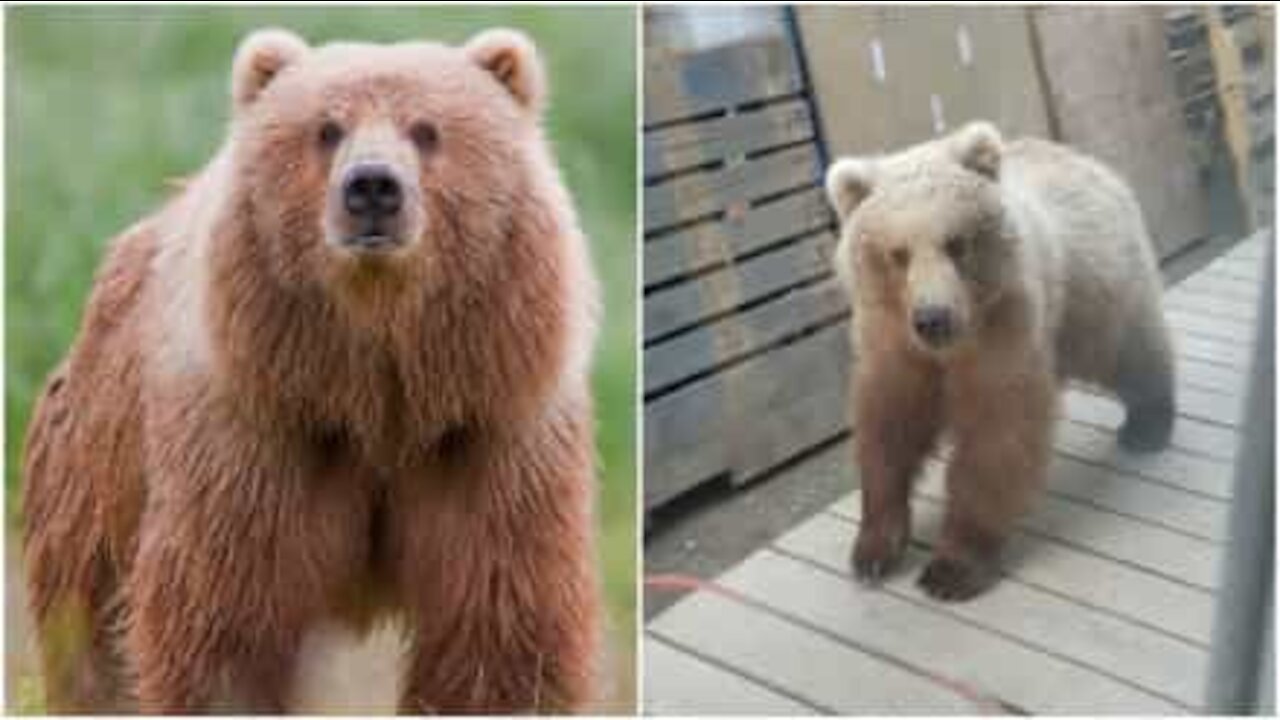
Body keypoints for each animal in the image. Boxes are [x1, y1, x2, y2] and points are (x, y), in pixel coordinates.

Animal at [20, 28, 599, 712]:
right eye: (326, 129)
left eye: (426, 130)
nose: (372, 187)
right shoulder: (258, 436)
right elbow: (225, 621)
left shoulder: (486, 436)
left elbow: (497, 627)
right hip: (95, 475)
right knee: (89, 646)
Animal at [824, 121, 1172, 599]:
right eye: (898, 253)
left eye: (956, 243)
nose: (934, 318)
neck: (948, 350)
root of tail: (1088, 160)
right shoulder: (893, 343)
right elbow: (888, 429)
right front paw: (873, 550)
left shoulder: (1002, 328)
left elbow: (996, 437)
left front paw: (951, 568)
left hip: (1097, 286)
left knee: (1130, 347)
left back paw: (1149, 424)